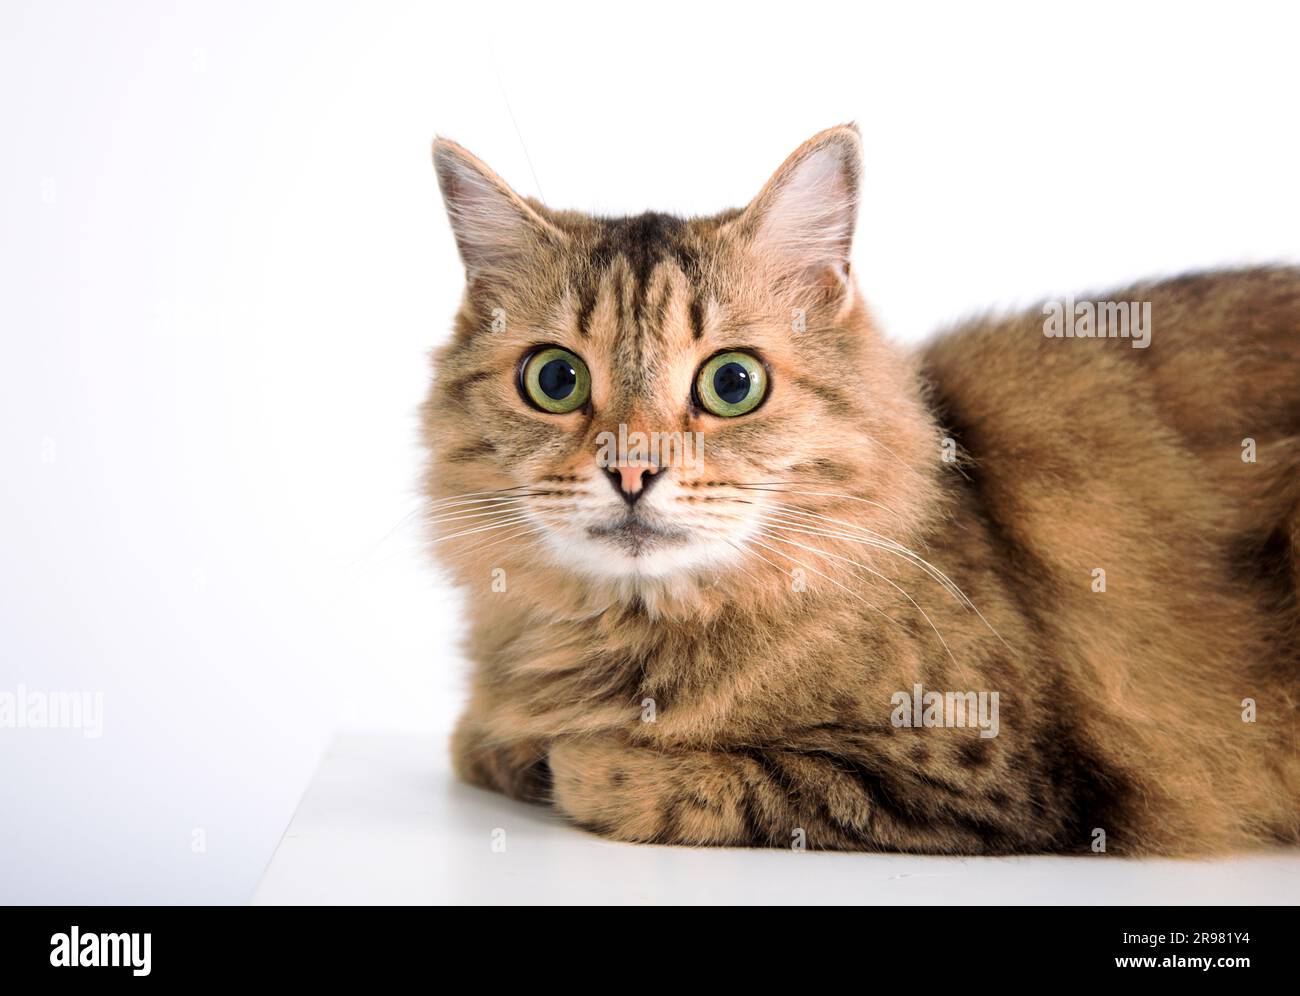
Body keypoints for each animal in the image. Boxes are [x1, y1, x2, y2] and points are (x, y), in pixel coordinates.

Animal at [426, 126, 1300, 858]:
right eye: (556, 380)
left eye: (733, 383)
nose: (633, 470)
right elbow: (479, 742)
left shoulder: (993, 771)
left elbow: (710, 777)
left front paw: (573, 762)